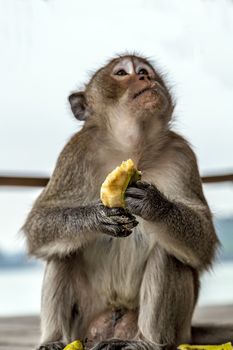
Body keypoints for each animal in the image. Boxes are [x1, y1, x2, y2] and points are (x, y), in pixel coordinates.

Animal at [22, 54, 231, 350]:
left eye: (143, 70)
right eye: (122, 73)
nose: (145, 77)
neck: (132, 147)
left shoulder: (182, 155)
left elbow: (202, 241)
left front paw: (156, 206)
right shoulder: (75, 152)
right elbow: (39, 223)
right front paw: (95, 217)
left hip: (177, 331)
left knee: (169, 254)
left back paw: (148, 342)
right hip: (85, 321)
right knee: (61, 252)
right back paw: (56, 340)